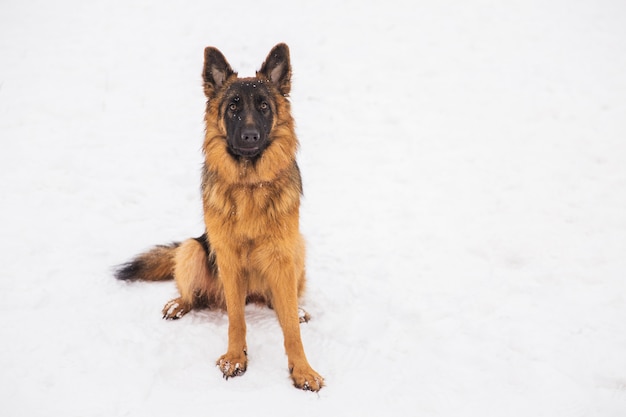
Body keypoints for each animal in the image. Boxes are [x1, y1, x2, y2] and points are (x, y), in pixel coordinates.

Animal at [114, 42, 324, 390]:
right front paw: (235, 358)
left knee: (282, 303)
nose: (250, 136)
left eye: (264, 107)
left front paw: (302, 370)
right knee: (193, 293)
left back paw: (295, 310)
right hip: (192, 250)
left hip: (298, 248)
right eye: (233, 107)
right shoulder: (227, 259)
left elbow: (291, 331)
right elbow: (236, 318)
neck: (250, 184)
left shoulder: (281, 256)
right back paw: (178, 304)